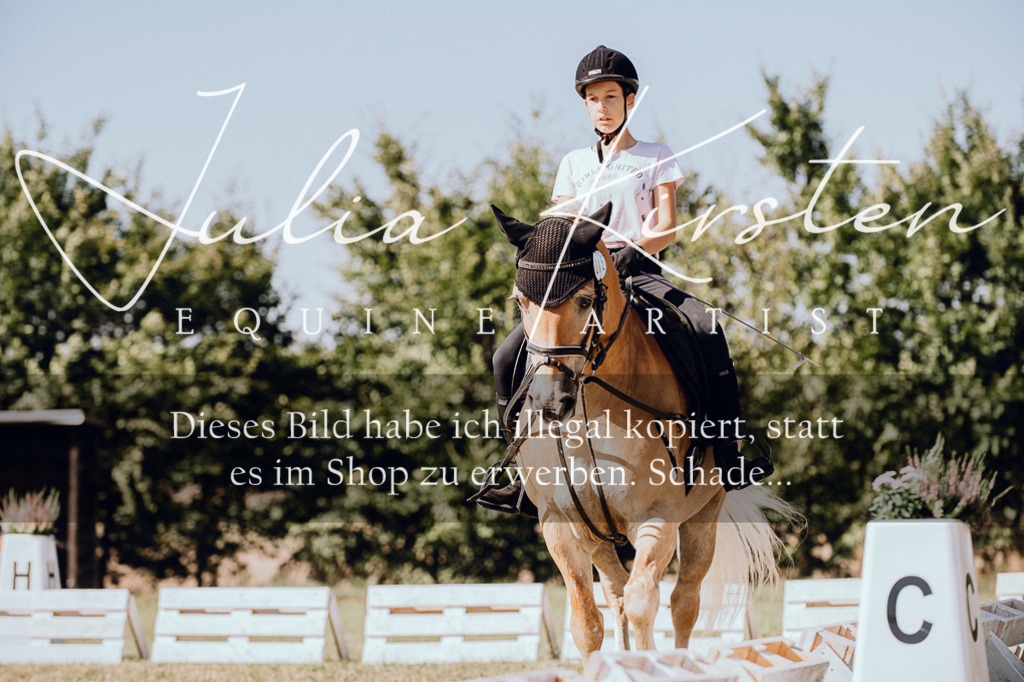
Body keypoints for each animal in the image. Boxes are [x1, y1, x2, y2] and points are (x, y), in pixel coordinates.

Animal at [489, 203, 798, 662]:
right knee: (615, 593)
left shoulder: (657, 517)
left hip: (703, 516)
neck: (592, 409)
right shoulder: (559, 523)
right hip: (598, 535)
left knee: (684, 601)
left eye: (585, 300)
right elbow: (587, 621)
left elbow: (643, 603)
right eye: (521, 301)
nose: (548, 403)